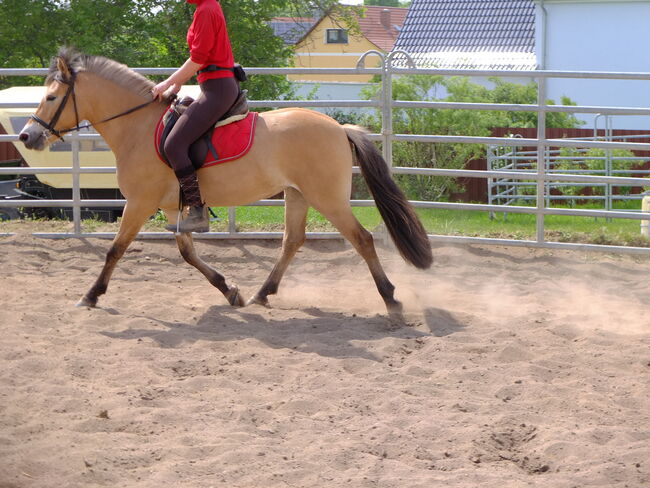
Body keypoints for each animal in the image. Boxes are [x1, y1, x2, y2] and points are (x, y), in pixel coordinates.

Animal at [19, 47, 430, 318]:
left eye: (51, 97)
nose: (27, 136)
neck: (139, 127)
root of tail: (339, 127)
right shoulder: (172, 207)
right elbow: (188, 253)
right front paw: (230, 291)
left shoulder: (140, 203)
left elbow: (114, 250)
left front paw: (91, 295)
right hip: (297, 195)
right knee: (292, 242)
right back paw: (262, 294)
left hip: (327, 198)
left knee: (361, 239)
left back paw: (390, 299)